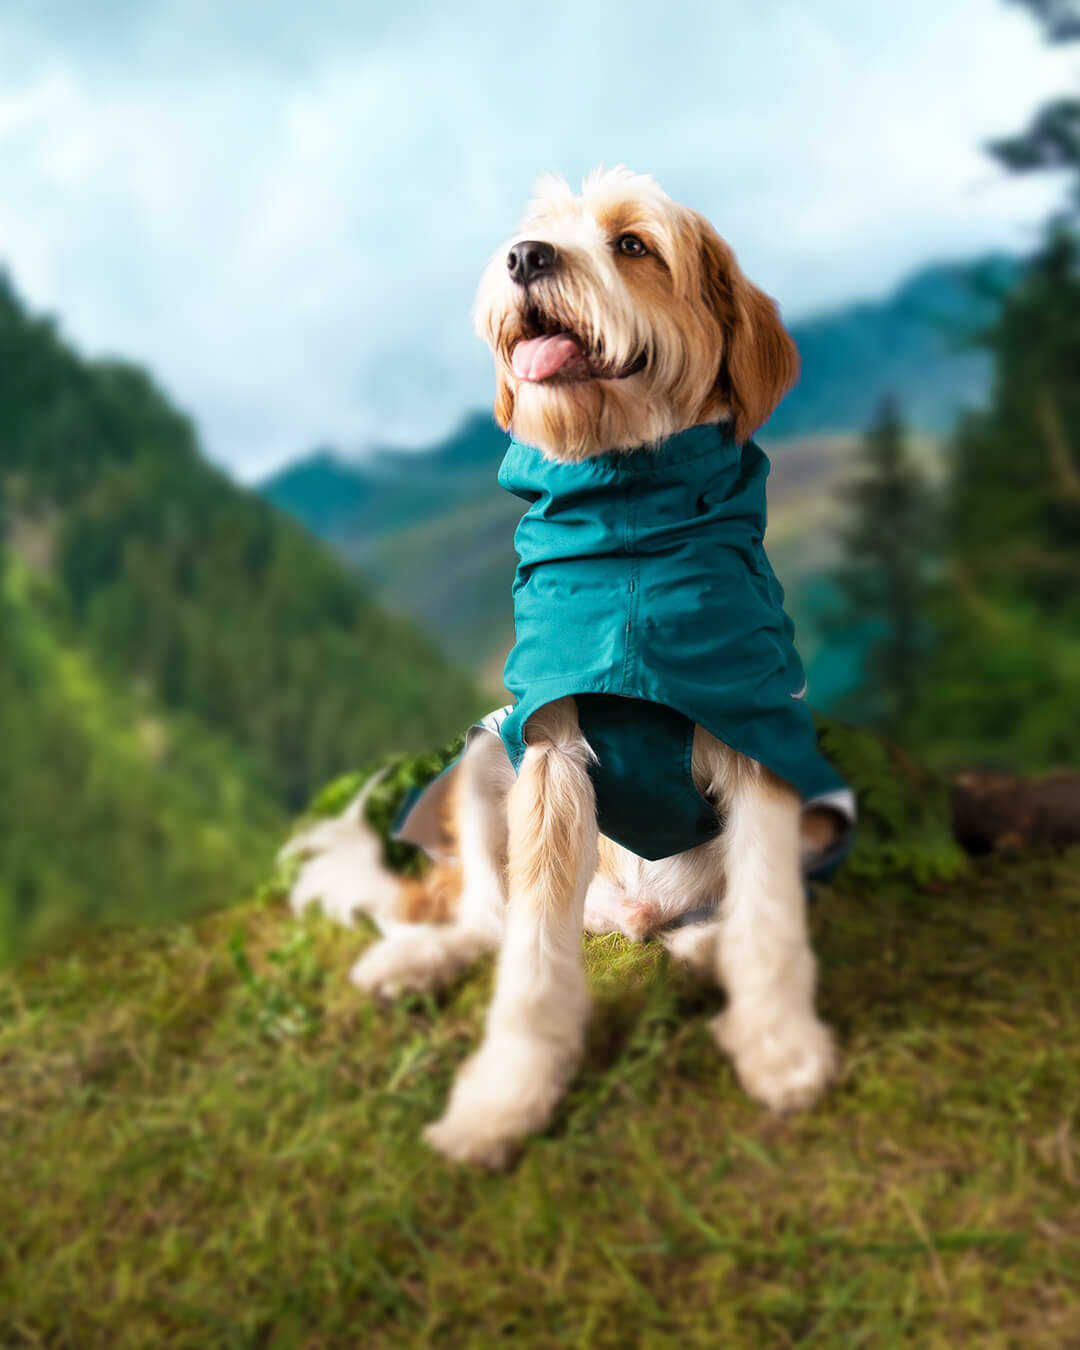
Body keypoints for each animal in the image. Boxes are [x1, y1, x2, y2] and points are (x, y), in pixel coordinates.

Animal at [284, 166, 853, 1171]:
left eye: (633, 244)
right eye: (536, 233)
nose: (523, 258)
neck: (628, 525)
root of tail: (632, 917)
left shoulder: (759, 731)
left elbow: (773, 918)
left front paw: (782, 1048)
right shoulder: (546, 751)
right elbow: (531, 959)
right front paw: (504, 1098)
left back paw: (705, 951)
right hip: (482, 756)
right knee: (490, 916)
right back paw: (417, 959)